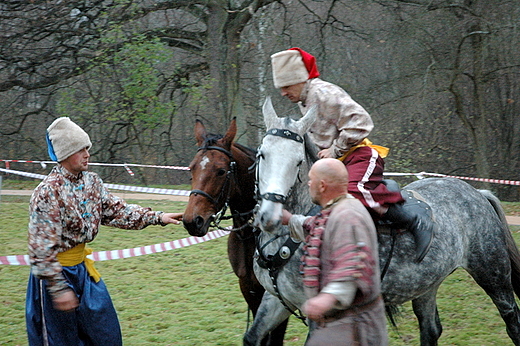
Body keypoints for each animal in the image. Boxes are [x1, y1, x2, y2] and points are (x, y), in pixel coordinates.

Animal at [182, 118, 288, 344]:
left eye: (221, 171)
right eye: (191, 169)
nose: (192, 221)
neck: (251, 234)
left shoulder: (279, 295)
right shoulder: (249, 289)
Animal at [246, 97, 520, 346]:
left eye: (298, 162)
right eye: (262, 154)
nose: (269, 216)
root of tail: (477, 193)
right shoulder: (275, 301)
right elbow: (252, 336)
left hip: (493, 274)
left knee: (512, 320)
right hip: (426, 284)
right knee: (430, 330)